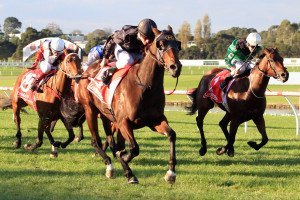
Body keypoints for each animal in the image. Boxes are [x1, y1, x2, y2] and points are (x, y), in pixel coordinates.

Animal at [76, 27, 182, 184]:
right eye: (161, 44)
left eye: (177, 44)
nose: (176, 67)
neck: (144, 86)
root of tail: (88, 71)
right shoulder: (124, 122)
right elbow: (133, 148)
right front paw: (127, 168)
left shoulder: (155, 120)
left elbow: (171, 135)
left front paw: (171, 173)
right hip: (90, 110)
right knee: (96, 141)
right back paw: (110, 167)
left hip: (107, 115)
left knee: (110, 139)